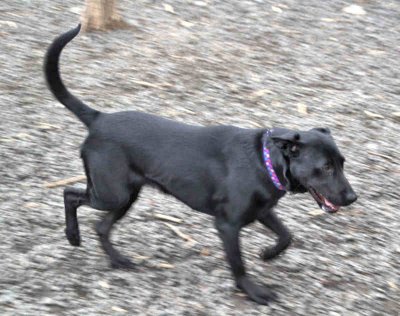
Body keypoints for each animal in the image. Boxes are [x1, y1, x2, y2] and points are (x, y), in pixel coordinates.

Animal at [43, 25, 356, 306]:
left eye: (342, 163)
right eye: (326, 167)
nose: (353, 197)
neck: (264, 160)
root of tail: (98, 118)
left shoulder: (263, 211)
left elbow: (287, 235)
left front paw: (269, 253)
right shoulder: (228, 225)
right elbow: (238, 264)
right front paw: (253, 292)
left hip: (126, 196)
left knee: (101, 226)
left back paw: (119, 260)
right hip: (112, 194)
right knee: (70, 195)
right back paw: (73, 236)